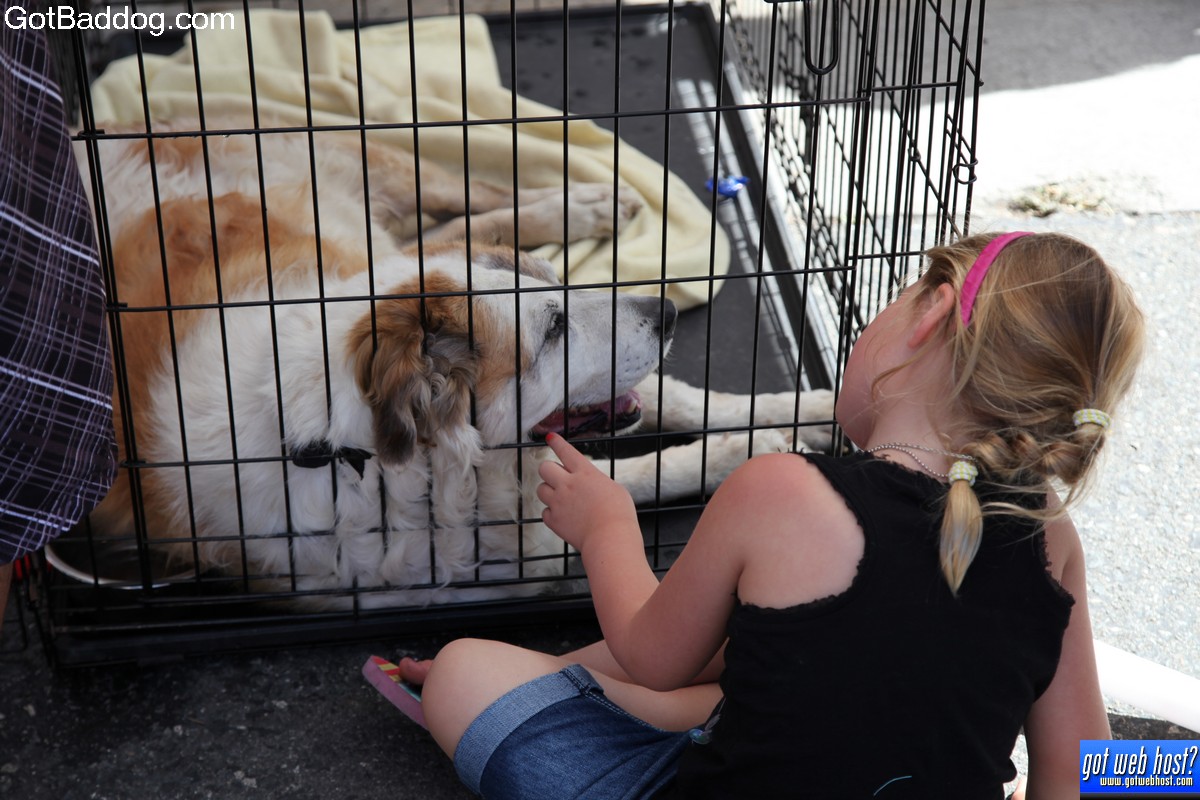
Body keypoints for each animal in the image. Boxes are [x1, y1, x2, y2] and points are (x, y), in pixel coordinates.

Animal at [78, 119, 832, 608]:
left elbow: (678, 402)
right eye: (554, 328)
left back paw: (585, 202)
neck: (360, 452)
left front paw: (800, 414)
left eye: (558, 286)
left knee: (467, 201)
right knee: (456, 221)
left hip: (374, 195)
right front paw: (748, 455)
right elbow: (618, 488)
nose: (667, 312)